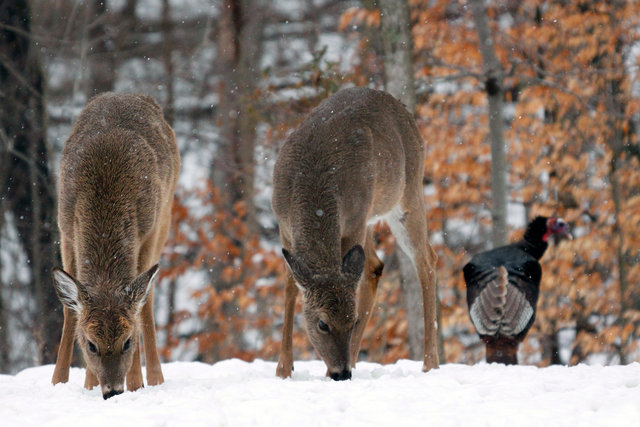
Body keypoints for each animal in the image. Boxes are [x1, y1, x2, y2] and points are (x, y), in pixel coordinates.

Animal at [50, 93, 180, 399]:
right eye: (91, 344)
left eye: (127, 341)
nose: (112, 391)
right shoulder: (66, 230)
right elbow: (69, 310)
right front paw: (58, 382)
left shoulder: (147, 233)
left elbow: (141, 306)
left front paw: (136, 383)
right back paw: (89, 382)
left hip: (165, 215)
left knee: (148, 301)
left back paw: (154, 378)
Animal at [272, 87, 439, 380]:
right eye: (322, 324)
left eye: (352, 320)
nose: (341, 373)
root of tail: (404, 111)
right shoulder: (284, 226)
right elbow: (291, 287)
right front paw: (283, 369)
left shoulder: (354, 222)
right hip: (374, 215)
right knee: (375, 265)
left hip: (406, 194)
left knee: (426, 260)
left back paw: (430, 363)